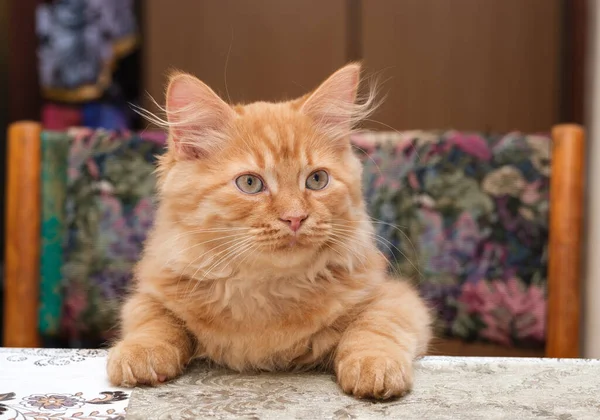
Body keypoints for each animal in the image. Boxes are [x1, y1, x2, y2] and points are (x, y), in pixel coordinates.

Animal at [106, 64, 432, 398]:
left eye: (317, 180)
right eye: (250, 183)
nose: (295, 218)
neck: (266, 290)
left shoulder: (395, 297)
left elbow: (374, 327)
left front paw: (374, 366)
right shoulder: (150, 294)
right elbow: (154, 321)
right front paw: (141, 353)